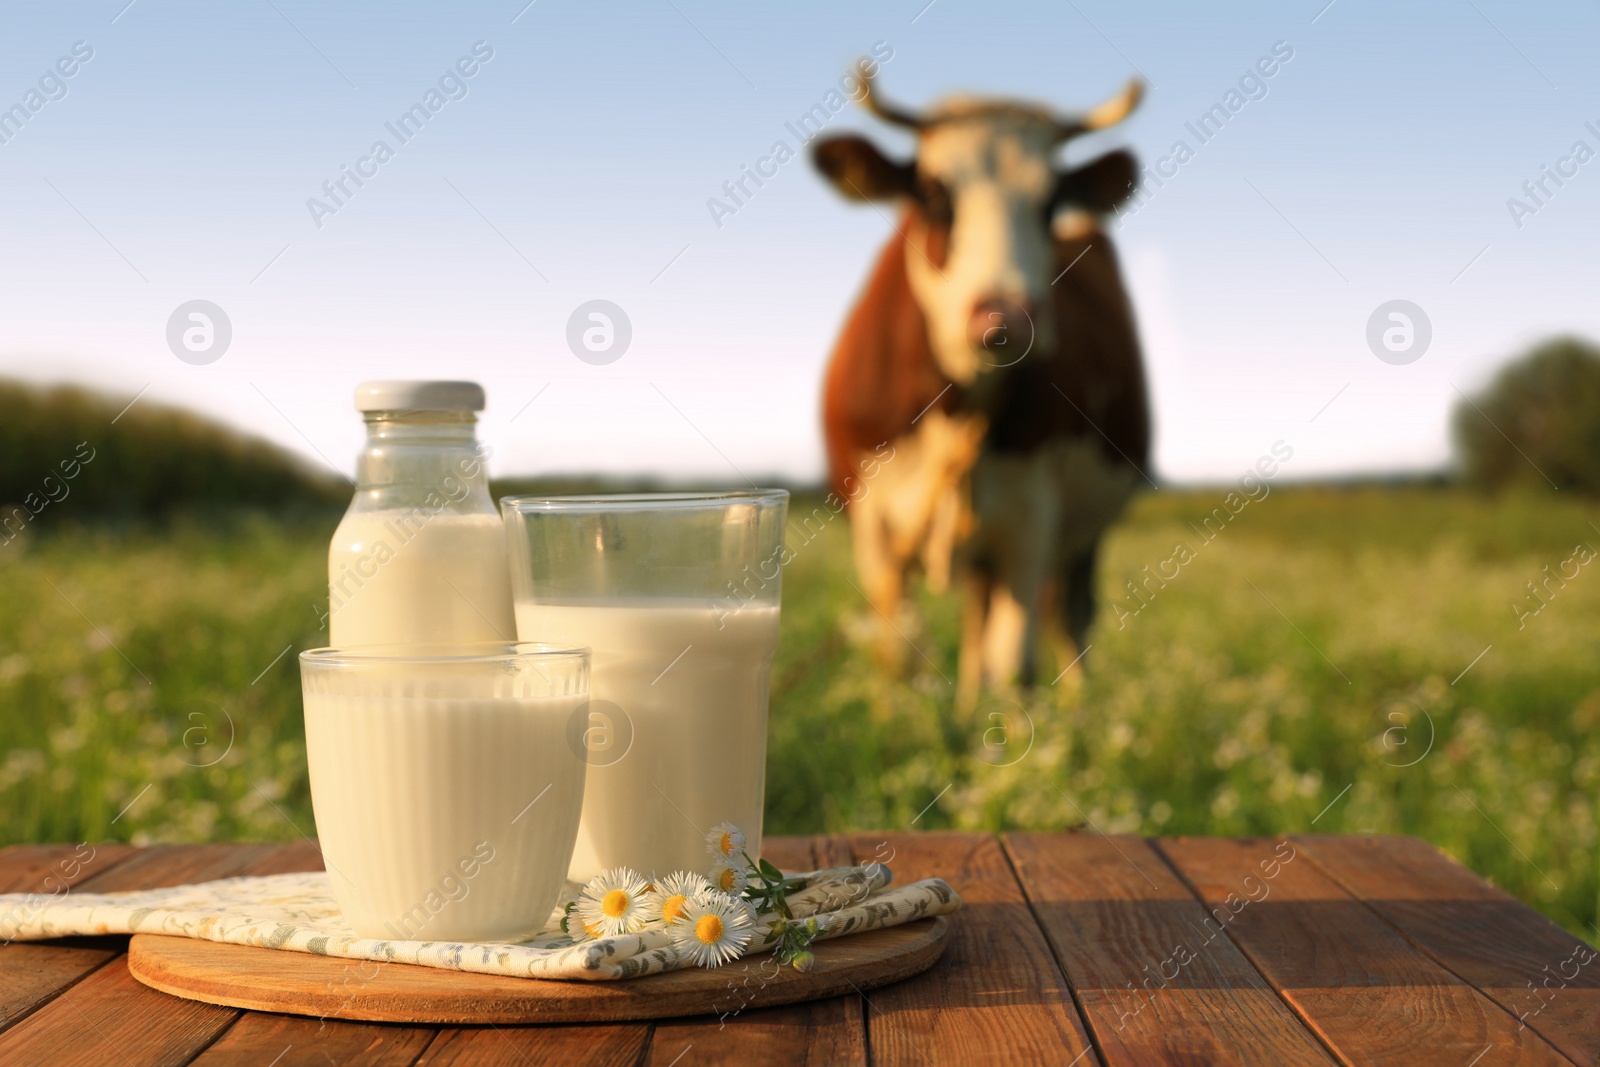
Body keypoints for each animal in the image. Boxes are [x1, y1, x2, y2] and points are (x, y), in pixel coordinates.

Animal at [812, 64, 1152, 700]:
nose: (1007, 316)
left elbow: (1015, 667)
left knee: (1069, 620)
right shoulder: (875, 532)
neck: (957, 407)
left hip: (1081, 534)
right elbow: (900, 660)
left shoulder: (1030, 523)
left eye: (1051, 202)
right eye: (933, 193)